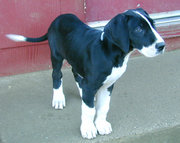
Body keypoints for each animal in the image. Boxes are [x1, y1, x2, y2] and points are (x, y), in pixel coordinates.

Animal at [6, 8, 165, 139]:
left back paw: (82, 93)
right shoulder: (92, 84)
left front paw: (101, 124)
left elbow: (103, 107)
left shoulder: (108, 85)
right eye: (138, 29)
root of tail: (58, 18)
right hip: (56, 55)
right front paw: (88, 128)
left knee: (76, 74)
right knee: (57, 75)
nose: (162, 46)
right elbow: (89, 111)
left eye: (153, 24)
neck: (110, 52)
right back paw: (58, 99)